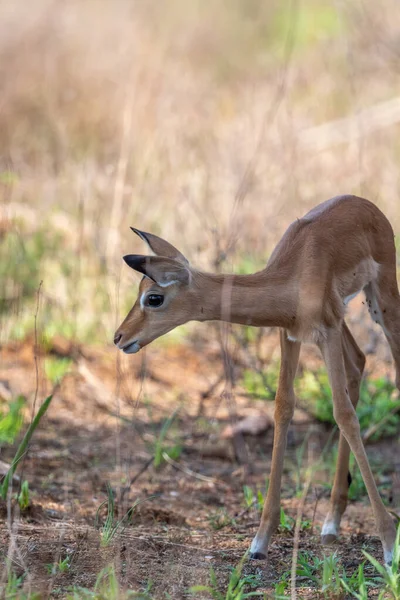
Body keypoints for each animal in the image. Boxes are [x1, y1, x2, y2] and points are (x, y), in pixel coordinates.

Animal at [113, 196, 400, 564]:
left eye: (154, 298)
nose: (119, 337)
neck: (295, 273)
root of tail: (364, 203)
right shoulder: (290, 334)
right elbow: (283, 408)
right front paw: (260, 540)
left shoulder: (327, 331)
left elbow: (344, 415)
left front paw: (389, 543)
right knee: (358, 363)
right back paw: (332, 522)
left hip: (381, 302)